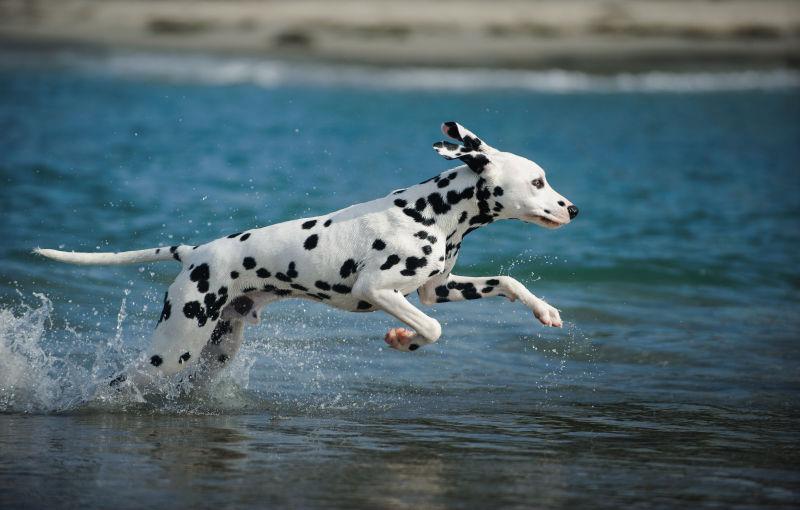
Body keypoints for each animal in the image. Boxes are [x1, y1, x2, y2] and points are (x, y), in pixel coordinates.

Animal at [34, 121, 580, 388]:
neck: (432, 212)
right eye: (538, 181)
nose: (573, 208)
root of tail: (194, 253)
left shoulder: (436, 289)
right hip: (174, 349)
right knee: (120, 381)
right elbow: (432, 328)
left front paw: (545, 311)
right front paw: (403, 340)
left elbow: (506, 282)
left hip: (216, 352)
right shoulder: (377, 289)